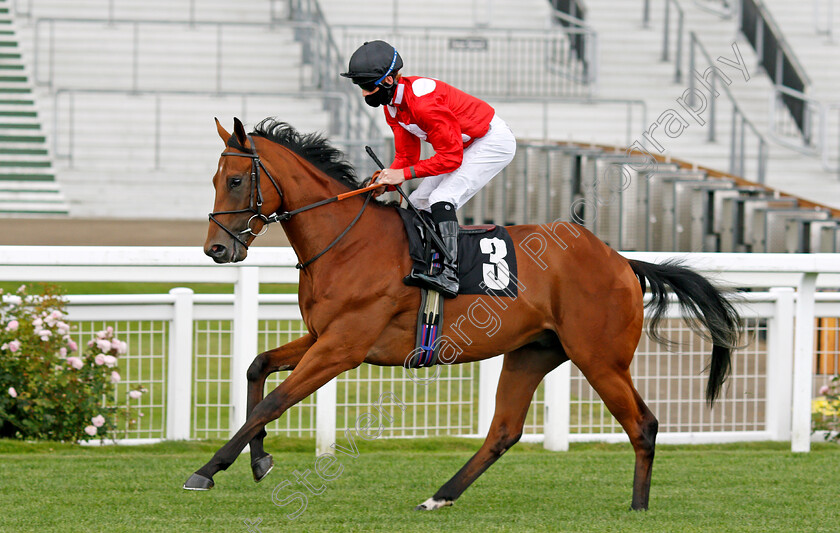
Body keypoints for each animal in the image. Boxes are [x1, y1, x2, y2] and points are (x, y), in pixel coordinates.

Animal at [185, 117, 740, 512]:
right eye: (213, 178)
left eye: (236, 179)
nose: (217, 249)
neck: (347, 241)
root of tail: (623, 261)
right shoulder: (323, 336)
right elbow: (258, 367)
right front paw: (259, 459)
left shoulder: (343, 347)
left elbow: (272, 401)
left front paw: (209, 469)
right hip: (532, 353)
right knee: (503, 431)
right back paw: (439, 496)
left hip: (599, 357)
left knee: (643, 423)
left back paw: (639, 506)